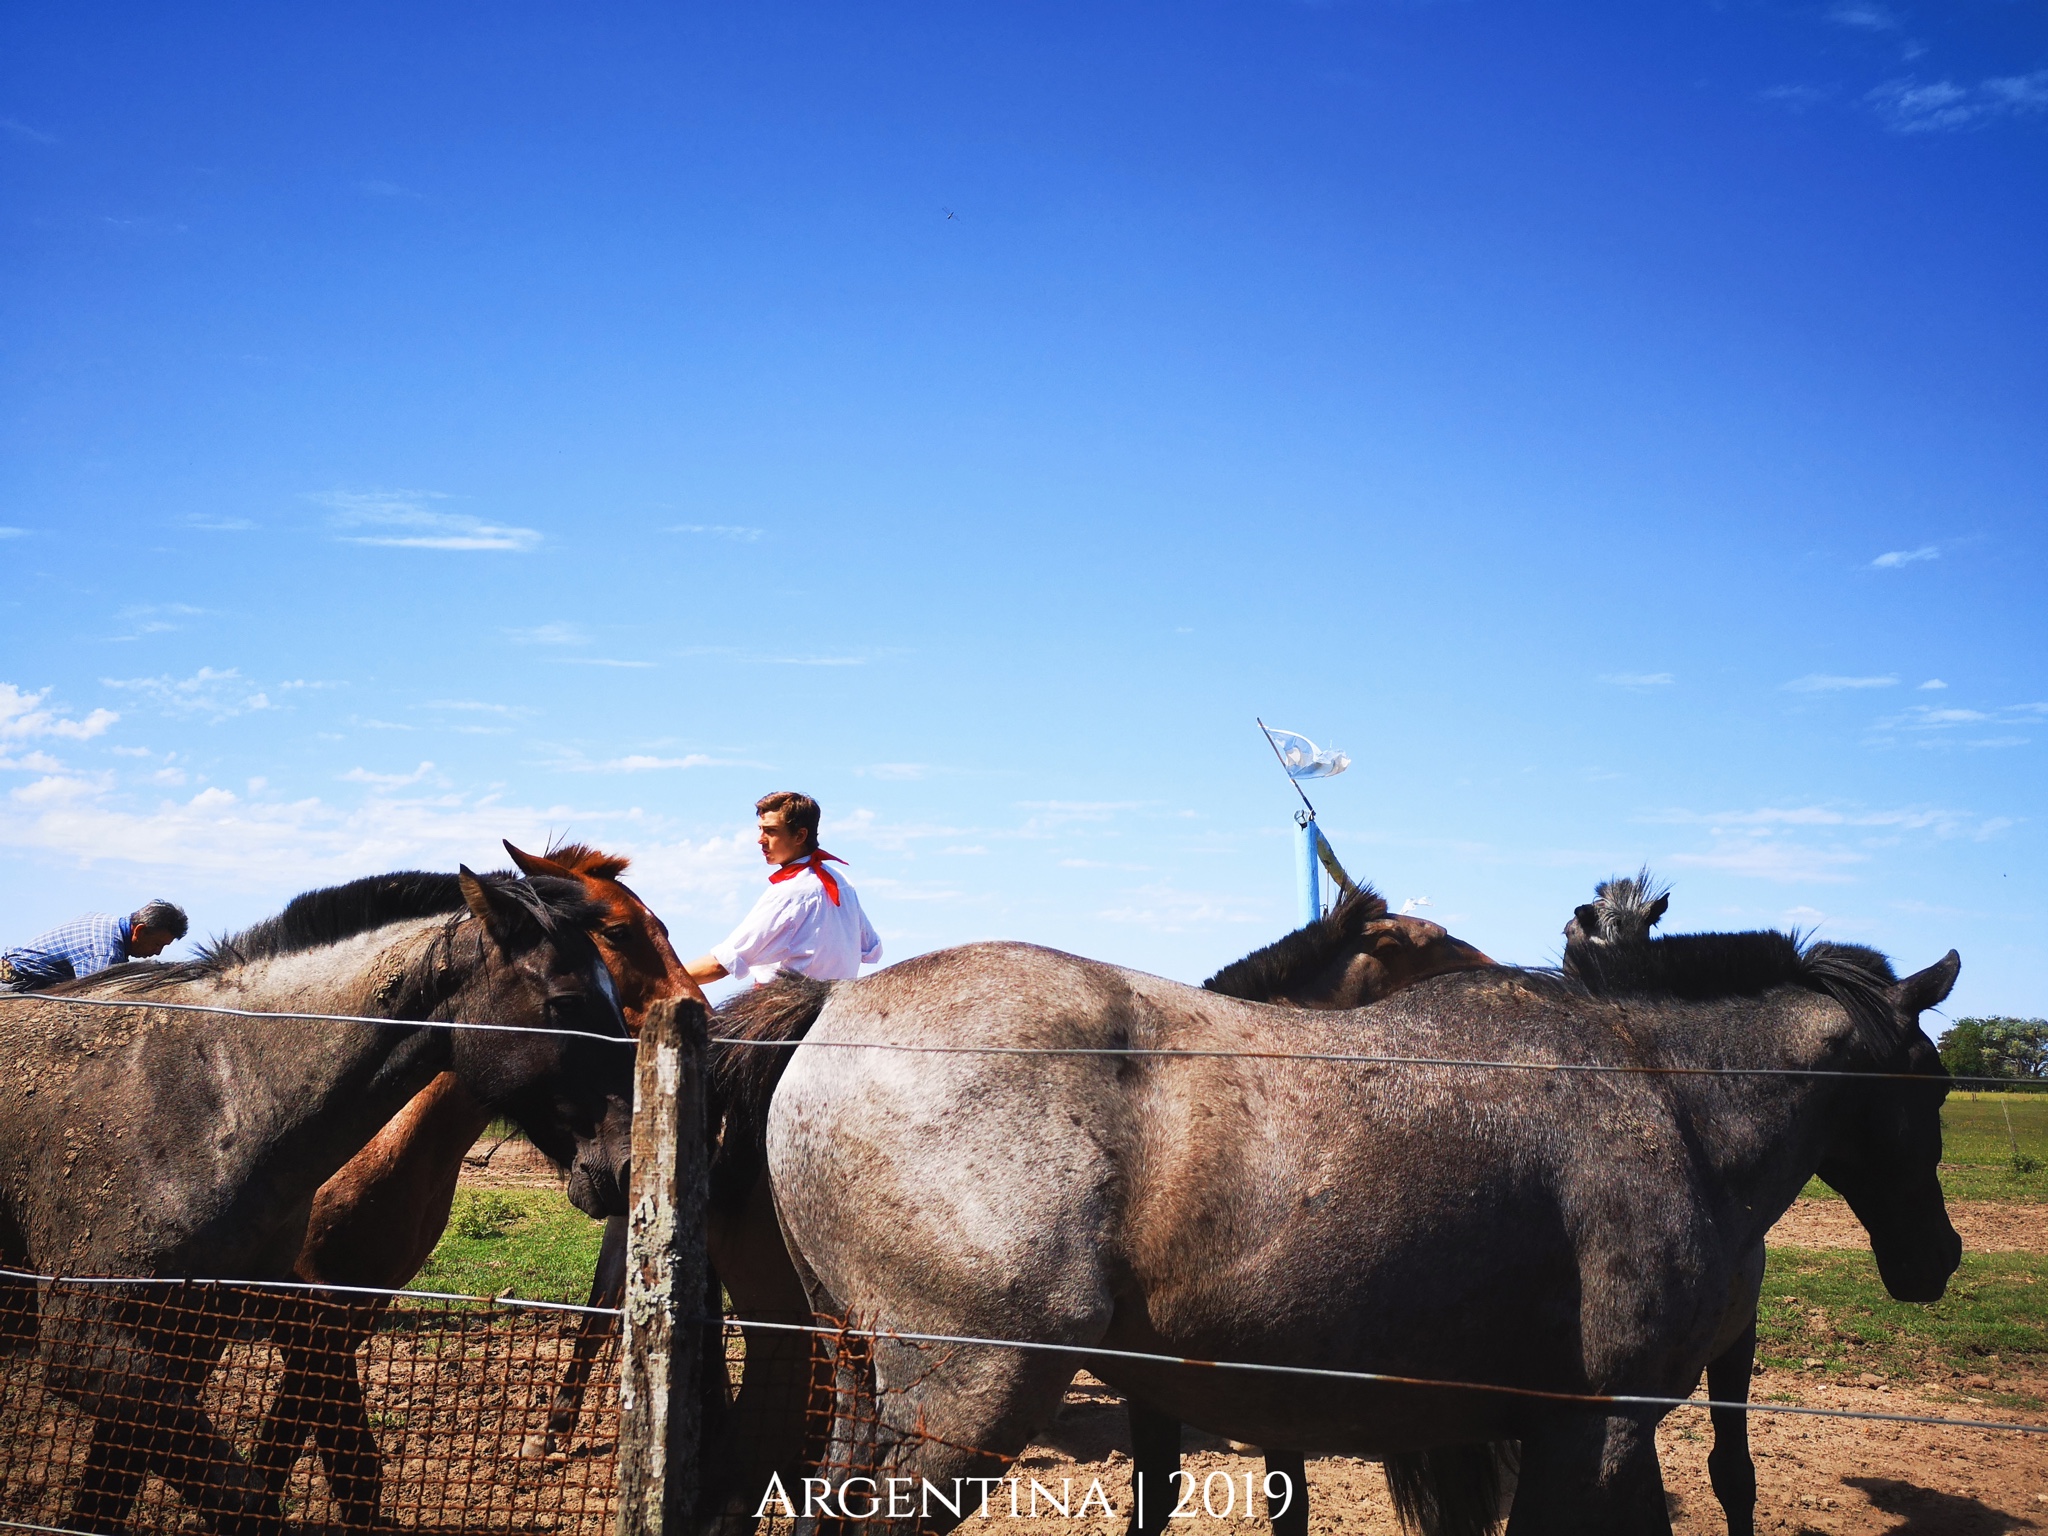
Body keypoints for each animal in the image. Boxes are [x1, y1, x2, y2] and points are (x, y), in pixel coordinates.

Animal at [0, 872, 634, 1531]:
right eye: (566, 1003)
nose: (627, 1162)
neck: (212, 1096)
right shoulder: (94, 1345)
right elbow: (260, 1489)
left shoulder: (196, 1338)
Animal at [749, 925, 1949, 1536]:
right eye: (1933, 1084)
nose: (1937, 1259)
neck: (1659, 1092)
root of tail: (838, 1006)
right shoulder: (1597, 1426)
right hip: (970, 1401)